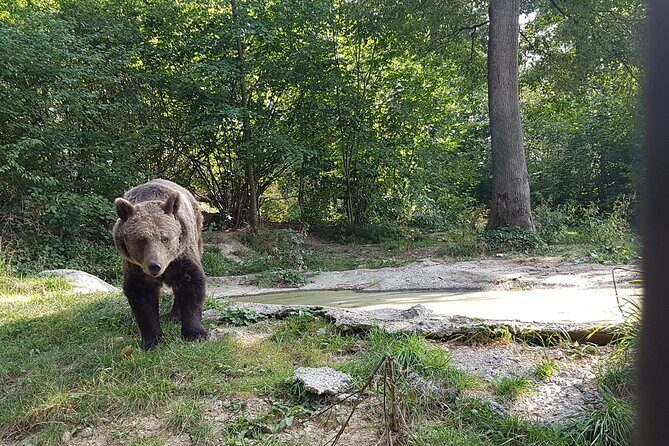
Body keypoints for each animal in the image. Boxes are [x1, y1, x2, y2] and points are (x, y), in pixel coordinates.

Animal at [112, 179, 208, 349]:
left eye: (165, 238)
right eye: (141, 240)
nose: (155, 266)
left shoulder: (181, 257)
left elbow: (191, 284)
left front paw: (194, 334)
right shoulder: (137, 268)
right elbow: (142, 297)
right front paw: (152, 341)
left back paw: (174, 315)